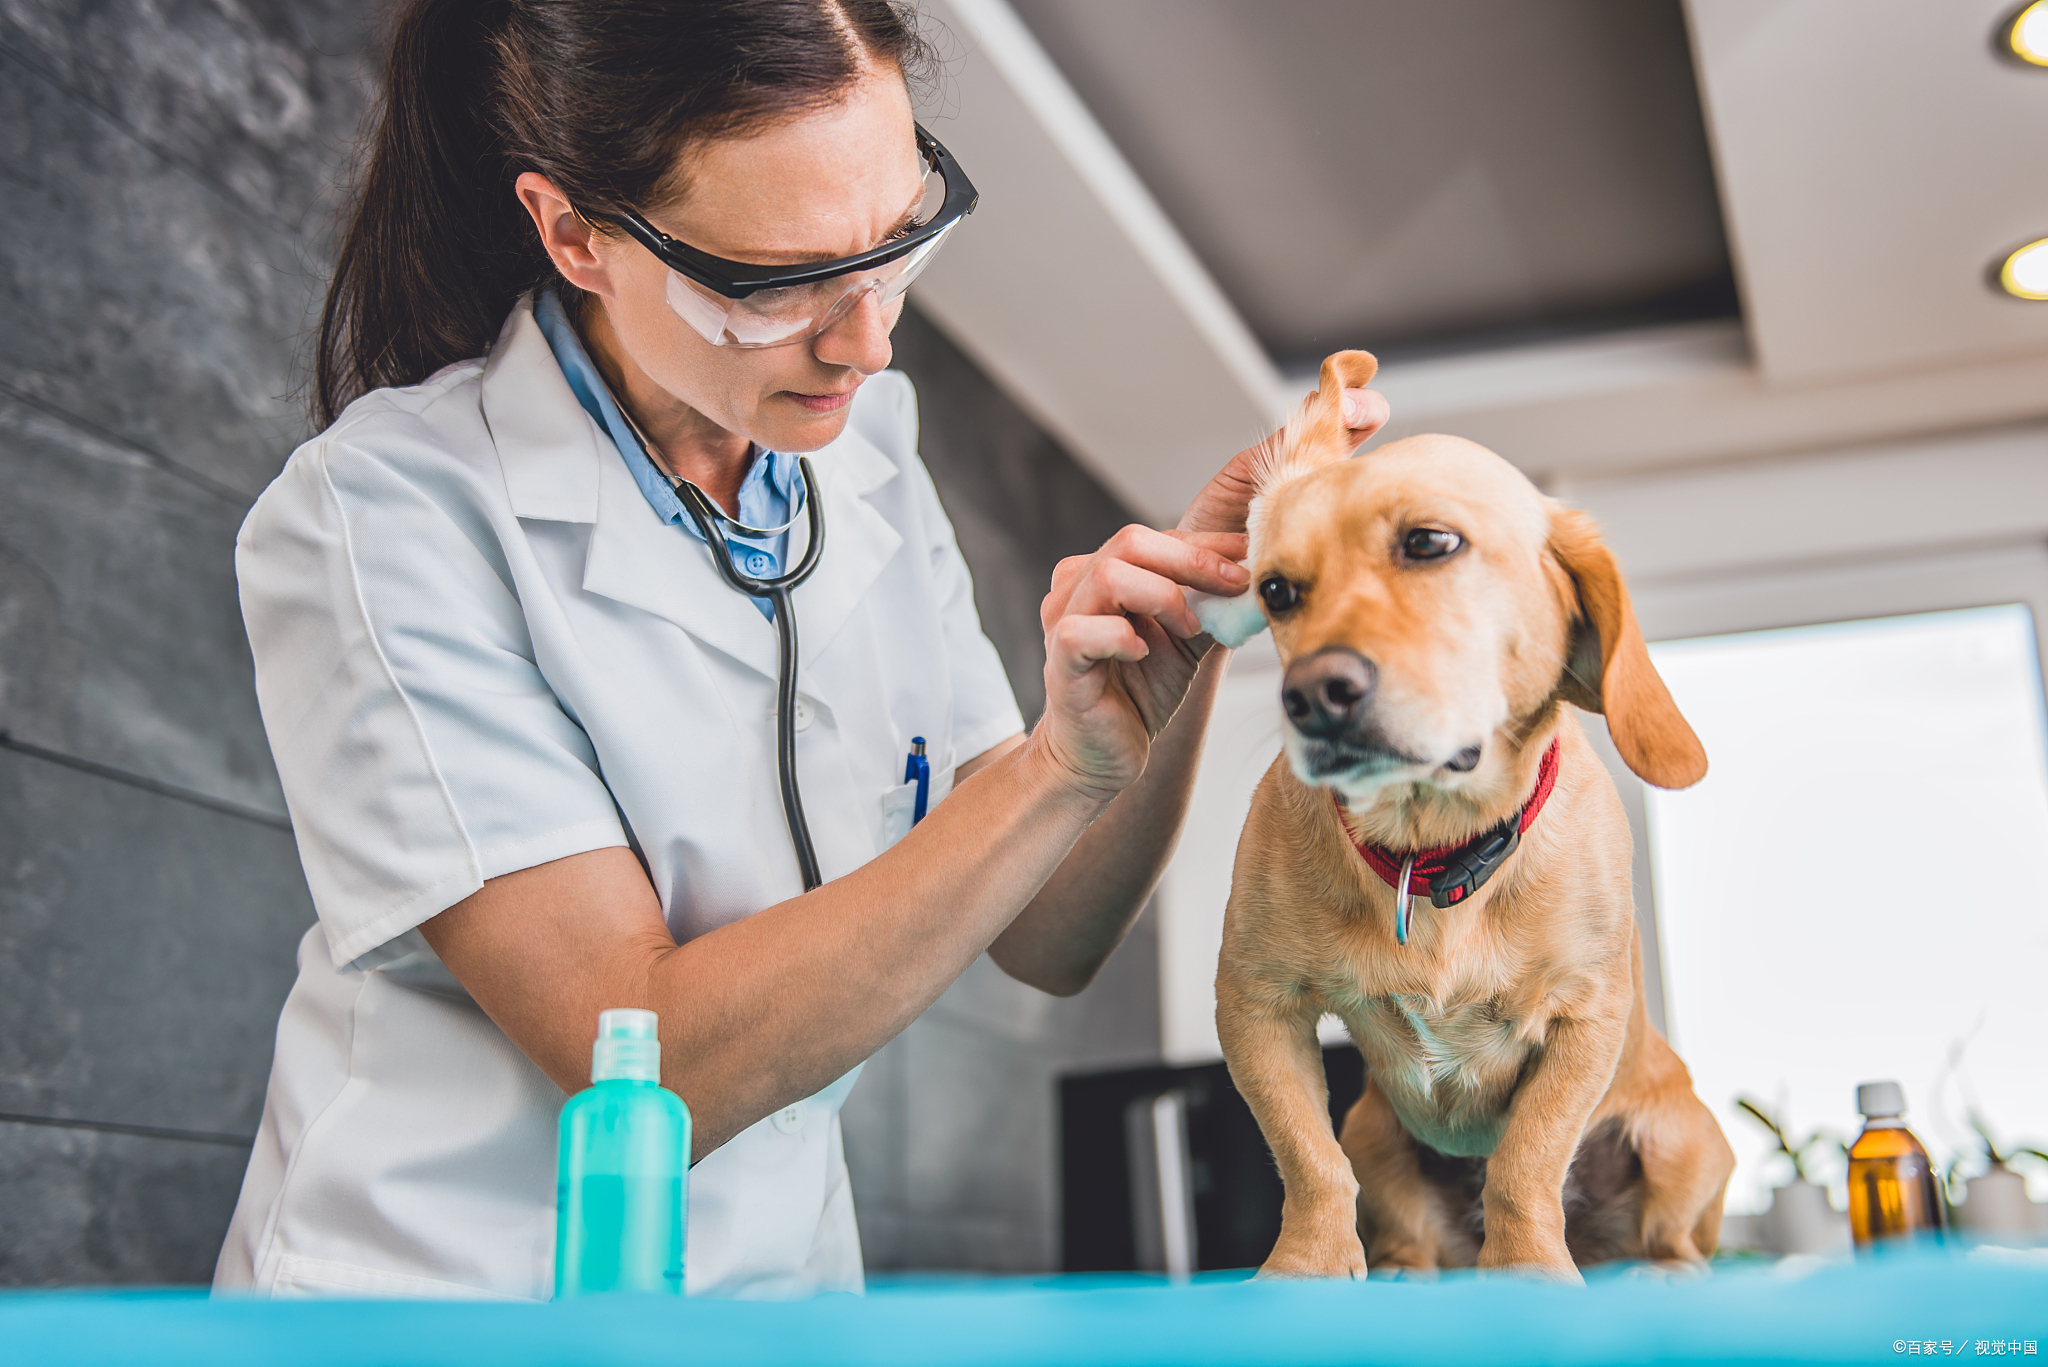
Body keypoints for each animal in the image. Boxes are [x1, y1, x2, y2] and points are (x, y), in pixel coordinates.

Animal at [1204, 350, 1736, 1287]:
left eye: (1429, 542)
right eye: (1276, 590)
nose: (1311, 696)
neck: (1433, 850)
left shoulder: (1583, 1022)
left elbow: (1526, 1160)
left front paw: (1527, 1268)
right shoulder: (1256, 1007)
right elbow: (1307, 1159)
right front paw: (1307, 1264)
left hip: (1685, 1137)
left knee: (1670, 1231)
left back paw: (1660, 1268)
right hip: (1375, 1128)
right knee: (1391, 1211)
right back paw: (1408, 1269)